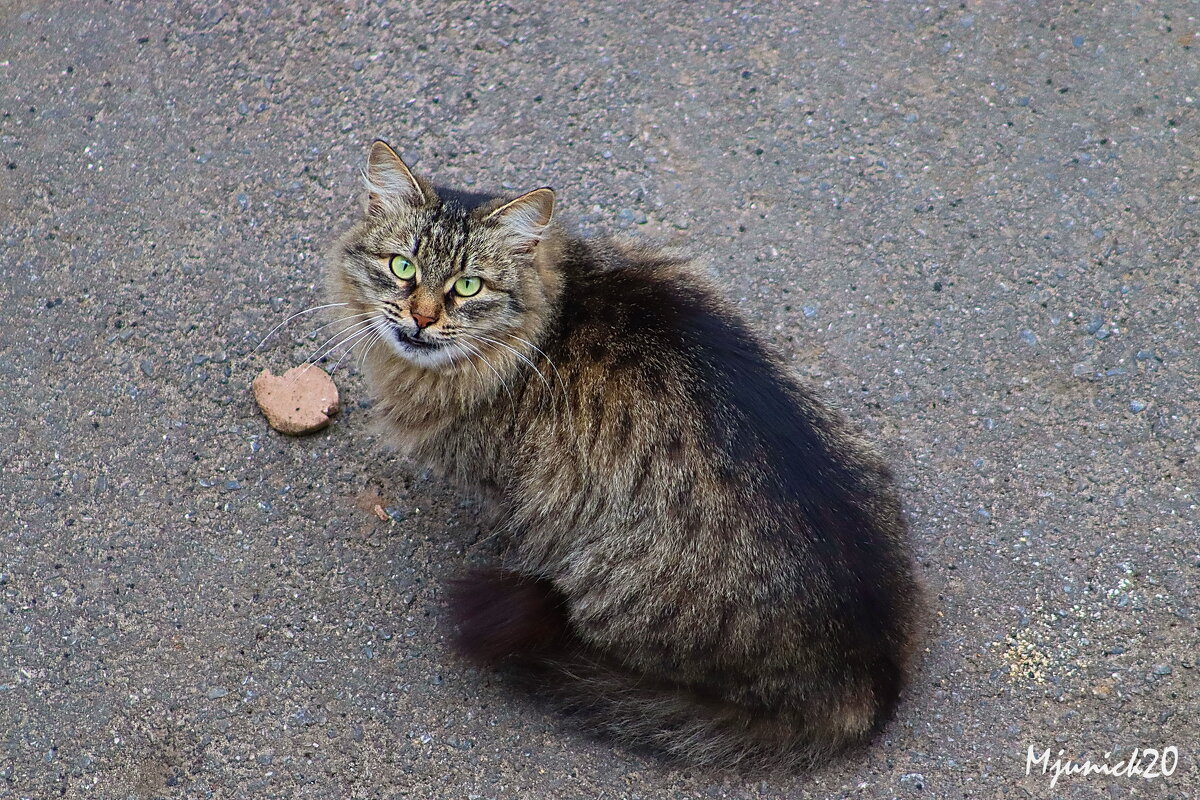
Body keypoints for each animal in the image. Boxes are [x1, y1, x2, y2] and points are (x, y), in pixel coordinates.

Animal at [324, 139, 921, 767]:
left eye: (468, 287)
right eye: (403, 267)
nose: (421, 317)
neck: (551, 319)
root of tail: (869, 679)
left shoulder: (513, 485)